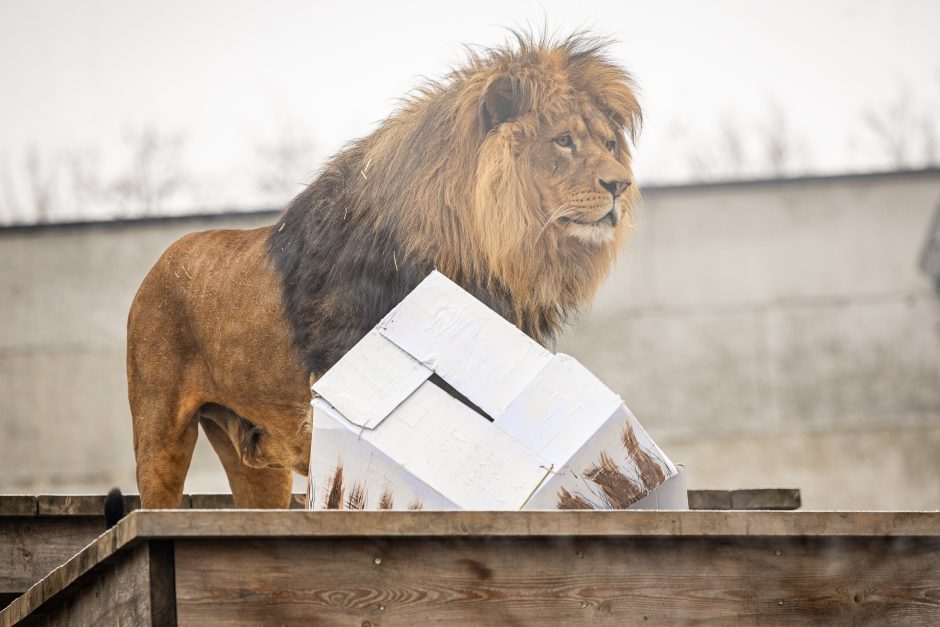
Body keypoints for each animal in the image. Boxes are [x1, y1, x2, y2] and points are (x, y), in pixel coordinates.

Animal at [126, 31, 640, 508]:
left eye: (609, 143)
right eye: (564, 141)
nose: (622, 184)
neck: (485, 254)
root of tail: (158, 263)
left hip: (258, 463)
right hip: (159, 432)